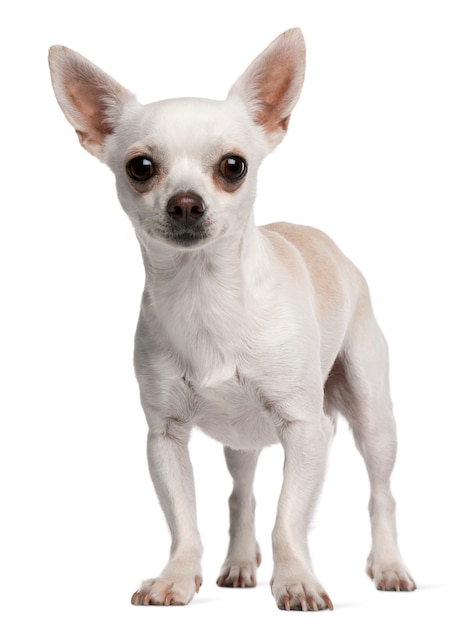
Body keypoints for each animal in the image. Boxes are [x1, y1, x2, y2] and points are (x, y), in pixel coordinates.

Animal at [49, 30, 414, 608]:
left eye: (233, 166)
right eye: (140, 167)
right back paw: (240, 563)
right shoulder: (165, 438)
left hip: (373, 416)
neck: (206, 295)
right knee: (241, 494)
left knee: (381, 494)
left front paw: (297, 580)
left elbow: (289, 518)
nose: (185, 203)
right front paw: (176, 576)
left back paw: (389, 566)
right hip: (241, 440)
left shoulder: (304, 428)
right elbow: (184, 520)